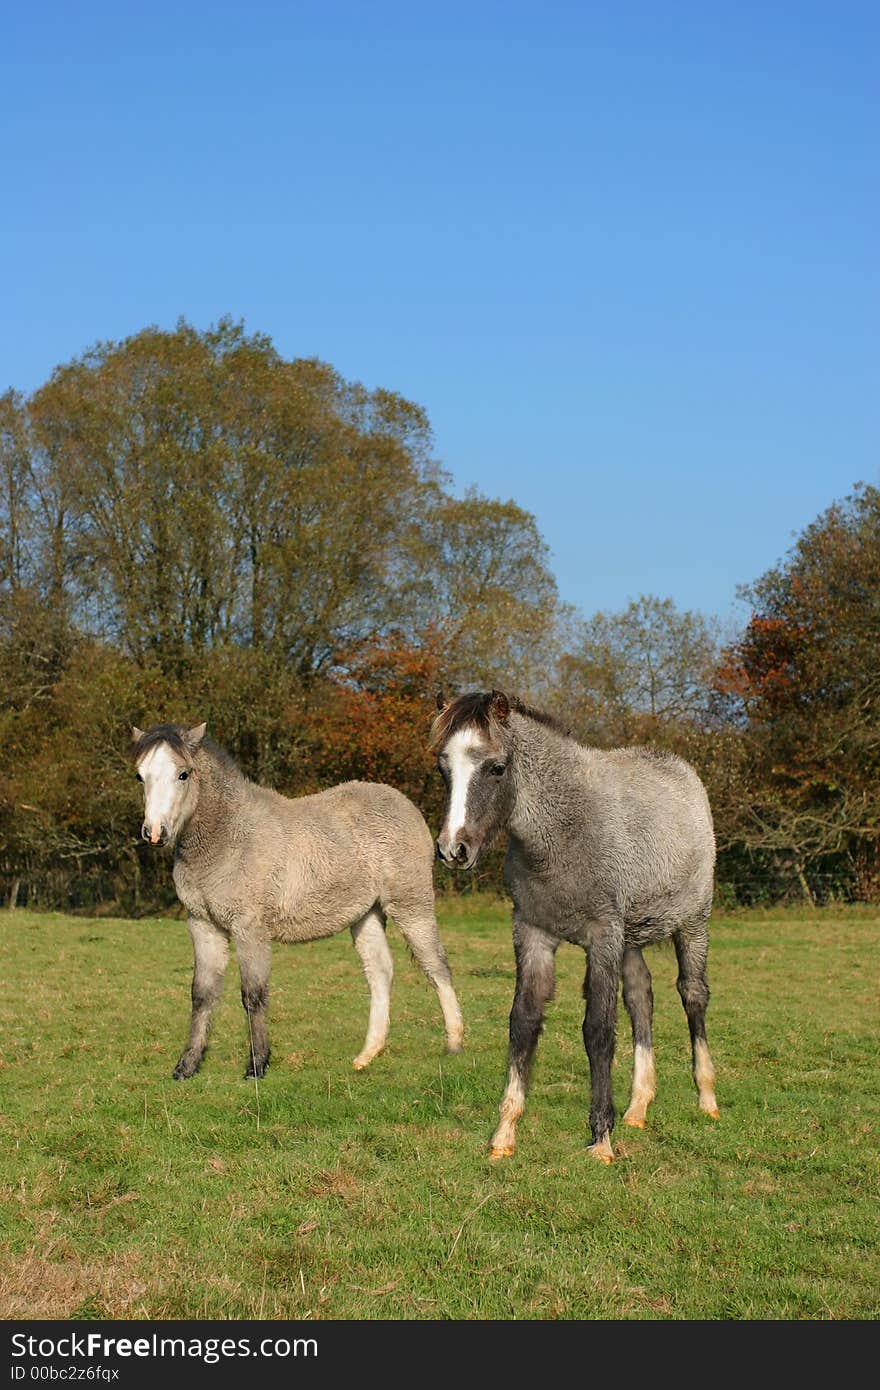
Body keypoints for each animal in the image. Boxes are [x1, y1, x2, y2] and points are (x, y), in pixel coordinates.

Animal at [428, 692, 717, 1162]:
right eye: (443, 768)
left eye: (496, 767)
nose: (454, 849)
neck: (565, 831)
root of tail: (682, 771)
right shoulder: (531, 931)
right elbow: (524, 1022)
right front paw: (504, 1132)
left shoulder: (602, 936)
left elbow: (598, 1029)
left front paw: (601, 1139)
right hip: (630, 939)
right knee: (641, 998)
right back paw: (638, 1107)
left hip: (692, 923)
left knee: (693, 995)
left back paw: (707, 1098)